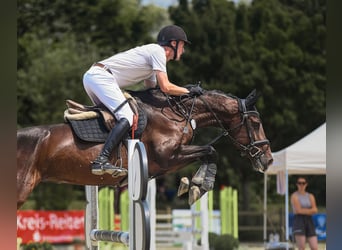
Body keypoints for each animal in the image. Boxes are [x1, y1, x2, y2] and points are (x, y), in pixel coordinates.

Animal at [16, 88, 274, 209]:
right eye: (255, 123)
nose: (268, 160)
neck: (176, 115)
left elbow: (208, 153)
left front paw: (191, 185)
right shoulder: (168, 157)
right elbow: (211, 151)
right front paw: (198, 185)